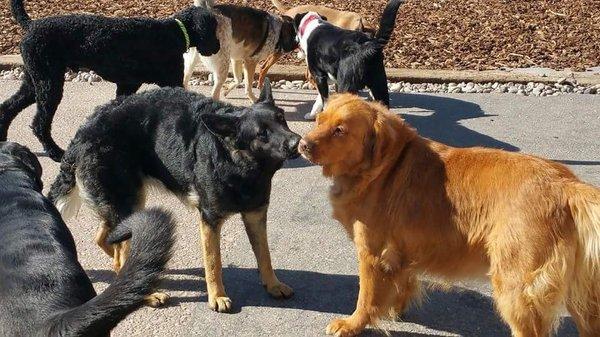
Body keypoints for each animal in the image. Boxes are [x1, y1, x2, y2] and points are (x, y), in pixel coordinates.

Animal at [0, 0, 220, 161]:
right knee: (39, 123)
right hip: (48, 84)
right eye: (213, 28)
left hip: (35, 82)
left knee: (8, 107)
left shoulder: (127, 85)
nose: (217, 47)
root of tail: (31, 24)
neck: (174, 32)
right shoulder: (170, 81)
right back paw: (55, 152)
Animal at [48, 79, 300, 312]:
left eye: (281, 118)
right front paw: (217, 296)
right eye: (262, 133)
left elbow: (265, 256)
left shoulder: (256, 216)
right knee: (119, 257)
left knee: (105, 239)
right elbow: (213, 262)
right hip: (128, 203)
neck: (236, 161)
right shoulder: (210, 220)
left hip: (127, 204)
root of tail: (82, 133)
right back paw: (142, 287)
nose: (298, 142)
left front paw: (272, 284)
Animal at [300, 94, 600, 336]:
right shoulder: (401, 251)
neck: (384, 167)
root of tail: (566, 185)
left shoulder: (372, 253)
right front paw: (396, 308)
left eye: (340, 130)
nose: (301, 145)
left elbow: (366, 296)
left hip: (516, 287)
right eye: (319, 120)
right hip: (578, 292)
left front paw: (353, 324)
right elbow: (402, 282)